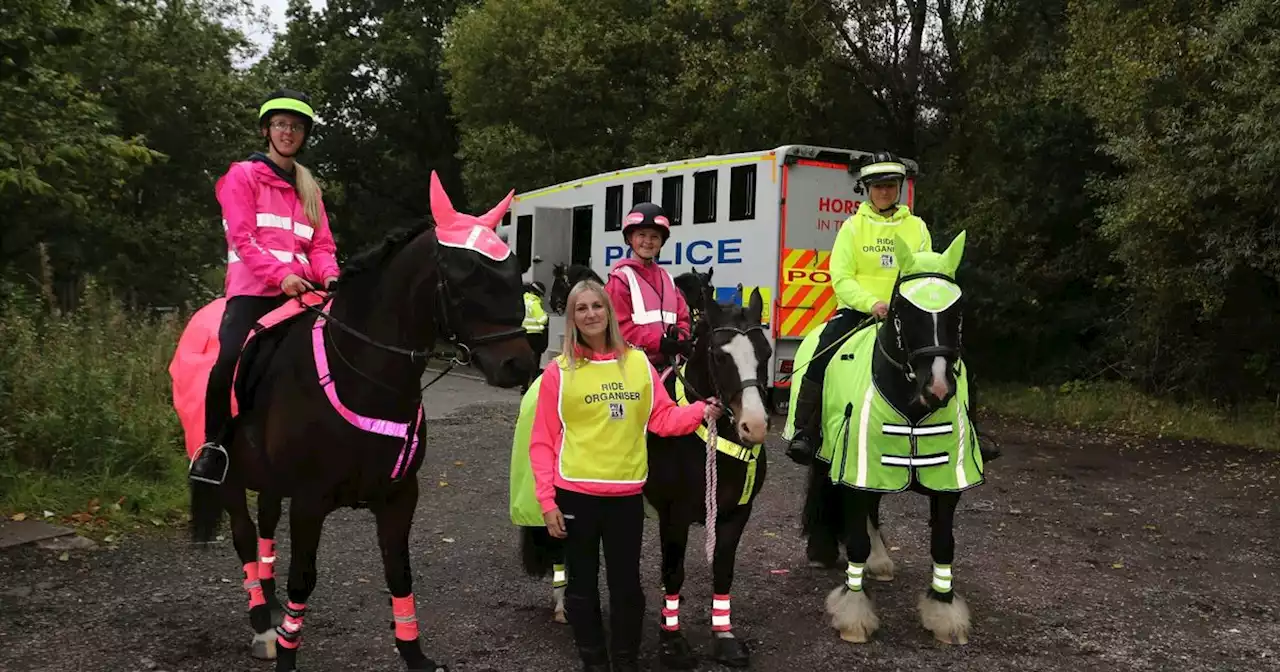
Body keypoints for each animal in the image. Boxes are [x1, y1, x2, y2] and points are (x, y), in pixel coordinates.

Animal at [185, 177, 535, 670]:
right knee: (245, 537)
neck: (361, 376)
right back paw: (263, 626)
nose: (518, 365)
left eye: (512, 269)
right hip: (230, 477)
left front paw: (414, 655)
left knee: (266, 531)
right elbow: (303, 578)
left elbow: (399, 572)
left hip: (270, 482)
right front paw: (288, 653)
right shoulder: (310, 501)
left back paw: (270, 609)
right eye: (463, 273)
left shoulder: (398, 496)